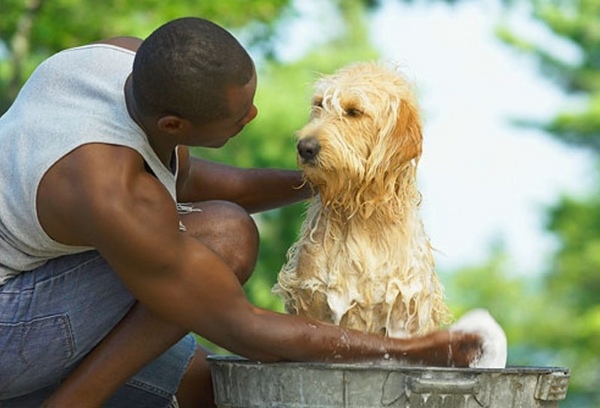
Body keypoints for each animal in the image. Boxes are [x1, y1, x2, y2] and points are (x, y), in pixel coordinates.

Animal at [272, 61, 450, 338]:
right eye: (319, 104)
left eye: (354, 112)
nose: (305, 147)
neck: (362, 215)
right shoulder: (312, 302)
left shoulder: (404, 315)